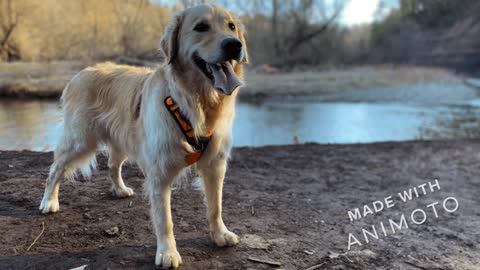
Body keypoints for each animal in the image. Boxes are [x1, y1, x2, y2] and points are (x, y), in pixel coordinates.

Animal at [38, 4, 248, 268]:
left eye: (231, 26)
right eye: (201, 27)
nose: (234, 45)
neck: (194, 102)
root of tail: (80, 73)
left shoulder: (215, 164)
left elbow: (215, 206)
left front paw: (220, 234)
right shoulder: (160, 173)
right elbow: (165, 220)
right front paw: (168, 253)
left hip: (120, 139)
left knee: (112, 164)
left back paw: (120, 189)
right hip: (79, 140)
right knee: (55, 169)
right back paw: (49, 201)